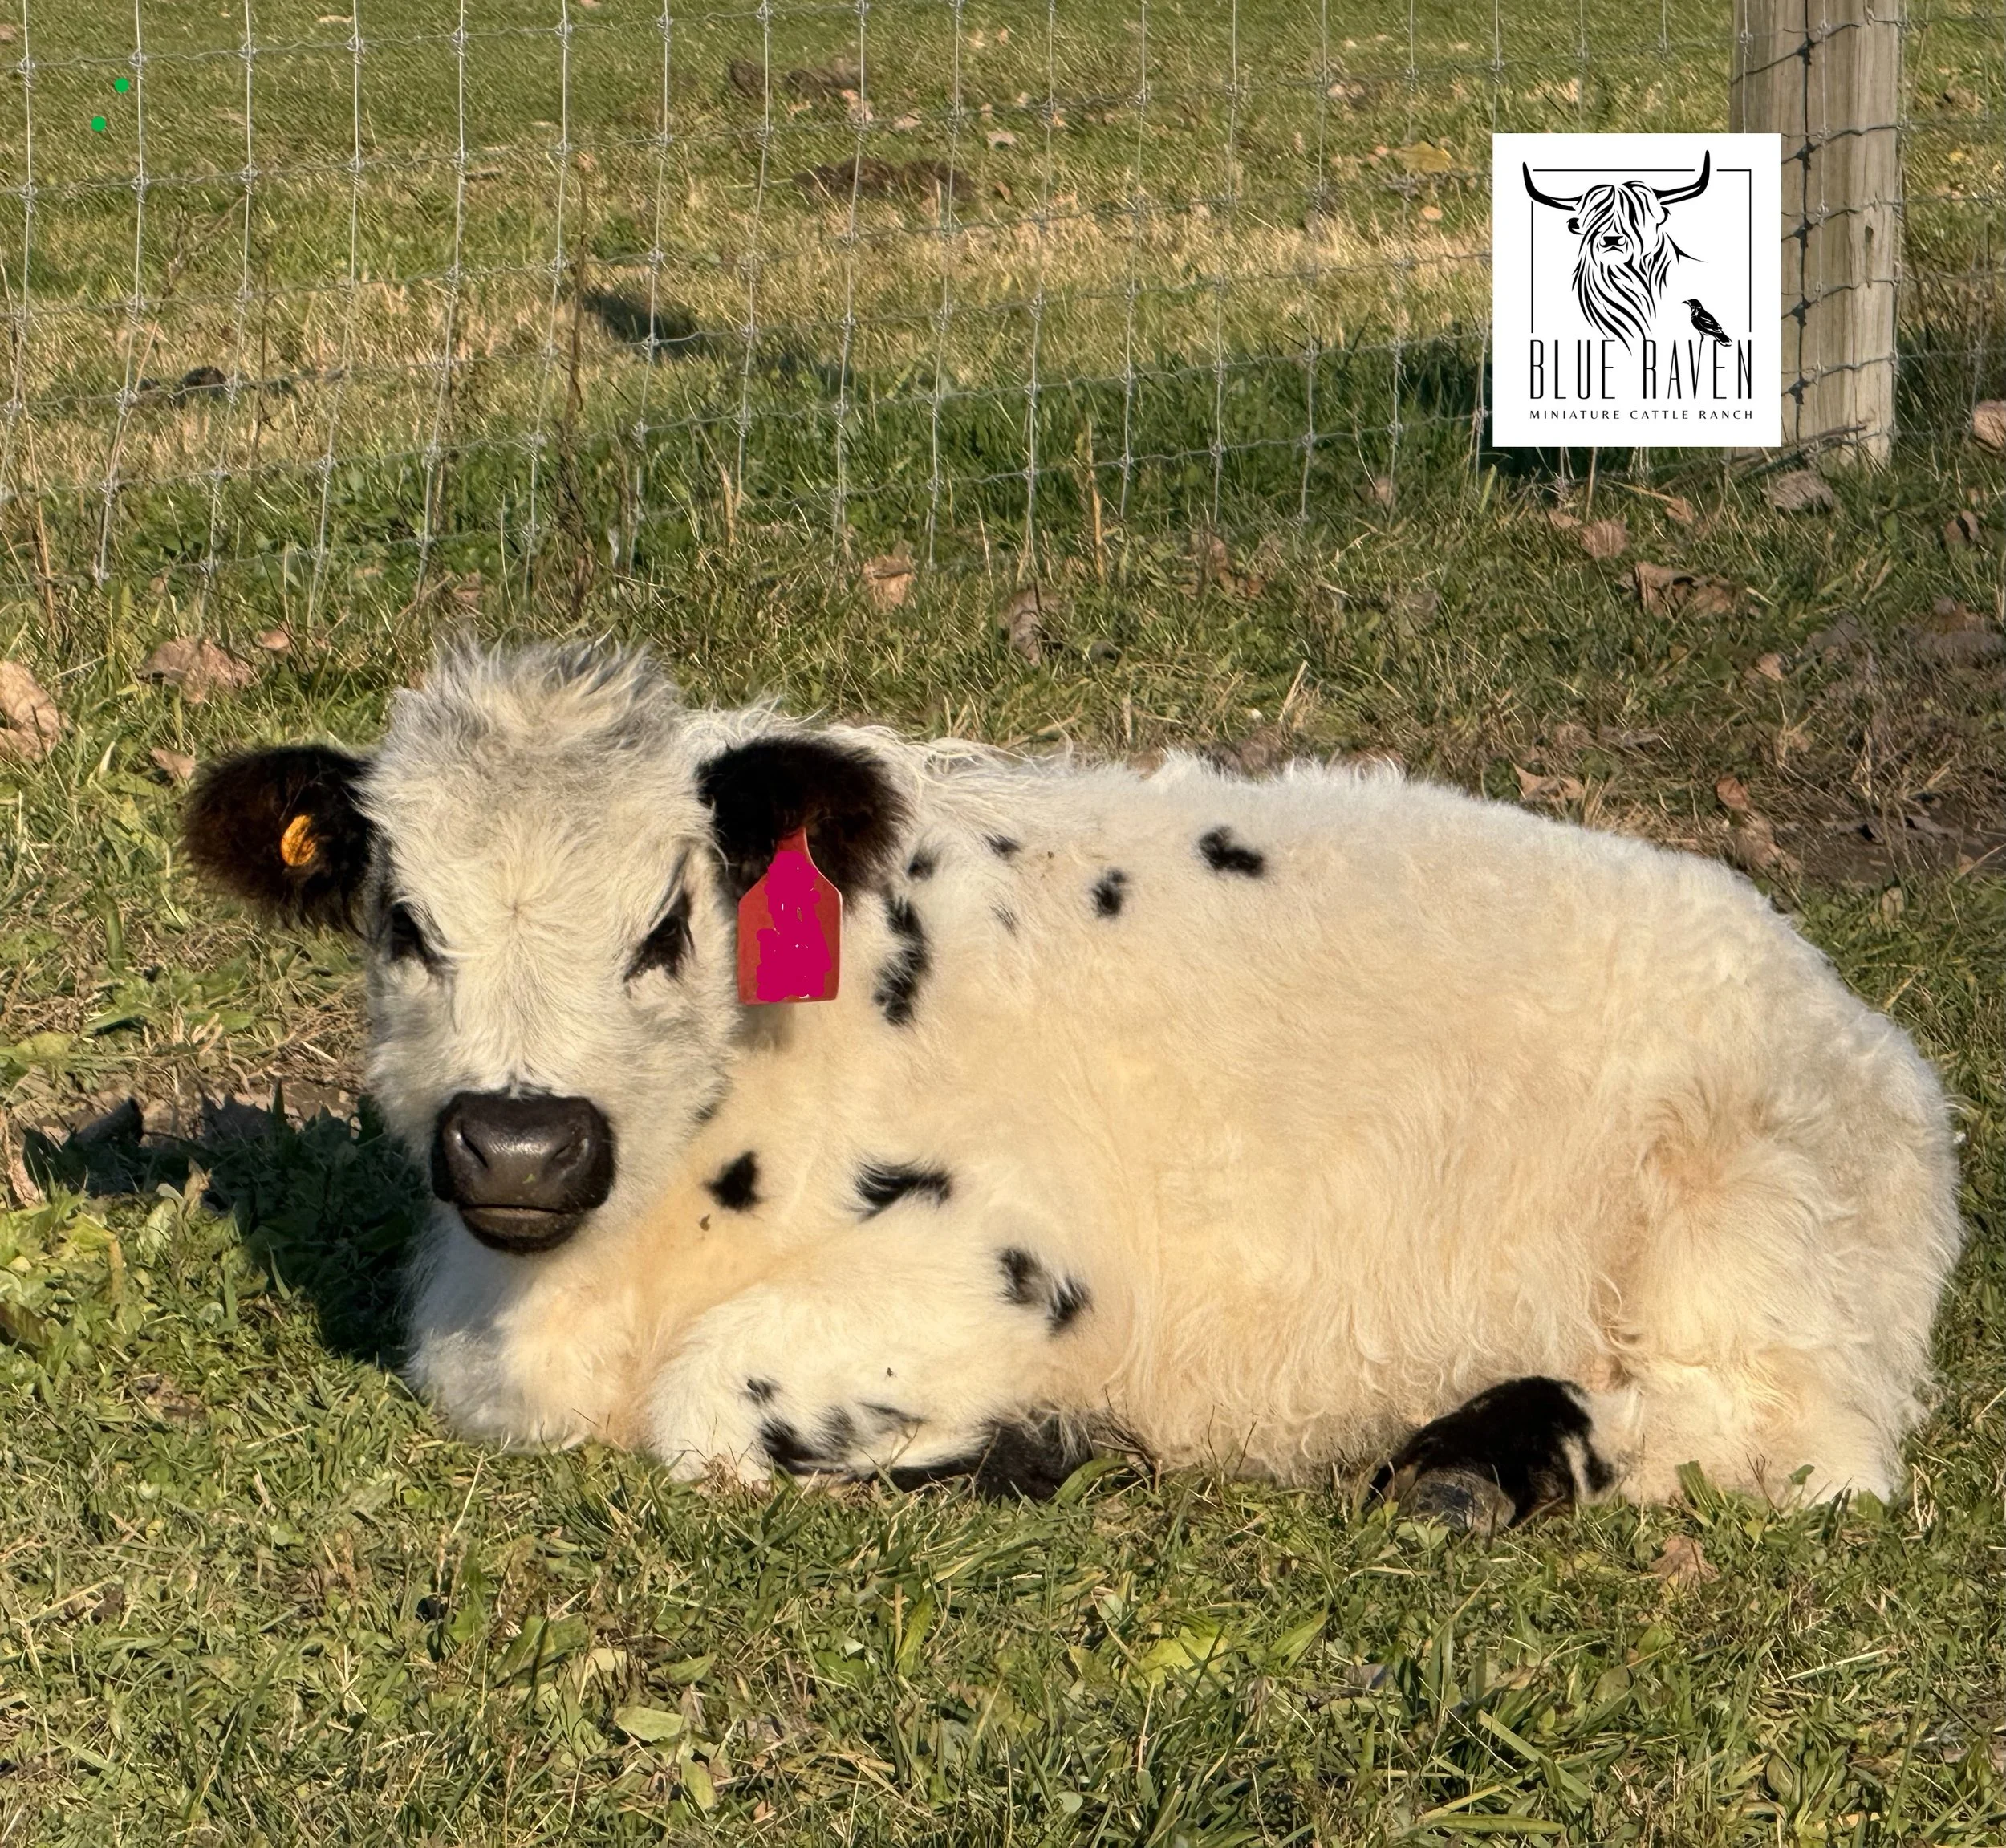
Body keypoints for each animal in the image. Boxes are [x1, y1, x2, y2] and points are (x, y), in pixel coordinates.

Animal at [185, 644, 1961, 1531]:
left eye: (665, 925)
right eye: (402, 922)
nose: (522, 1142)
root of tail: (1852, 1014)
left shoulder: (1012, 1256)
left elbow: (713, 1396)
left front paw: (1039, 1443)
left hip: (1760, 1246)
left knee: (1763, 1439)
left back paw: (1479, 1457)